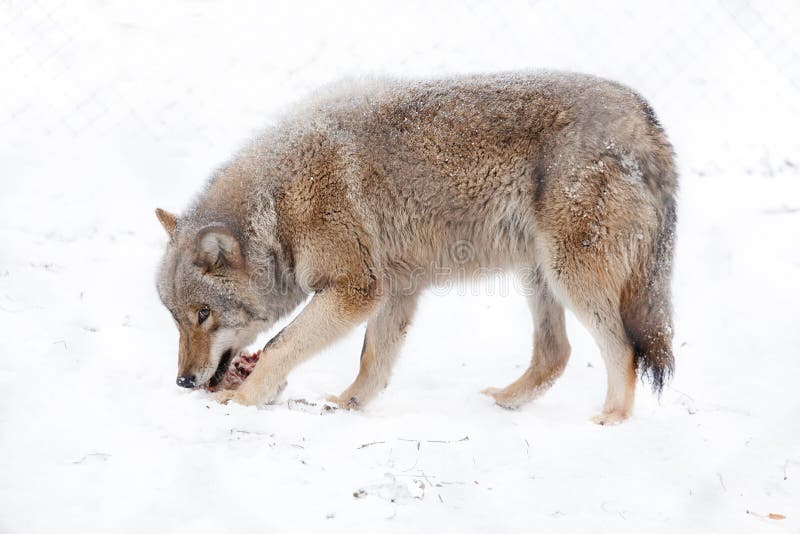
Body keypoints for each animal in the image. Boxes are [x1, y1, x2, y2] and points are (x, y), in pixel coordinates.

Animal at [156, 72, 676, 424]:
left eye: (204, 313)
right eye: (176, 318)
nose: (182, 381)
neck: (282, 200)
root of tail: (646, 117)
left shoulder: (357, 290)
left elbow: (279, 345)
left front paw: (243, 401)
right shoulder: (397, 288)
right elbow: (372, 361)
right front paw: (345, 406)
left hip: (571, 276)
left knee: (624, 350)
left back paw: (610, 419)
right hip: (538, 275)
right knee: (556, 354)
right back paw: (504, 402)